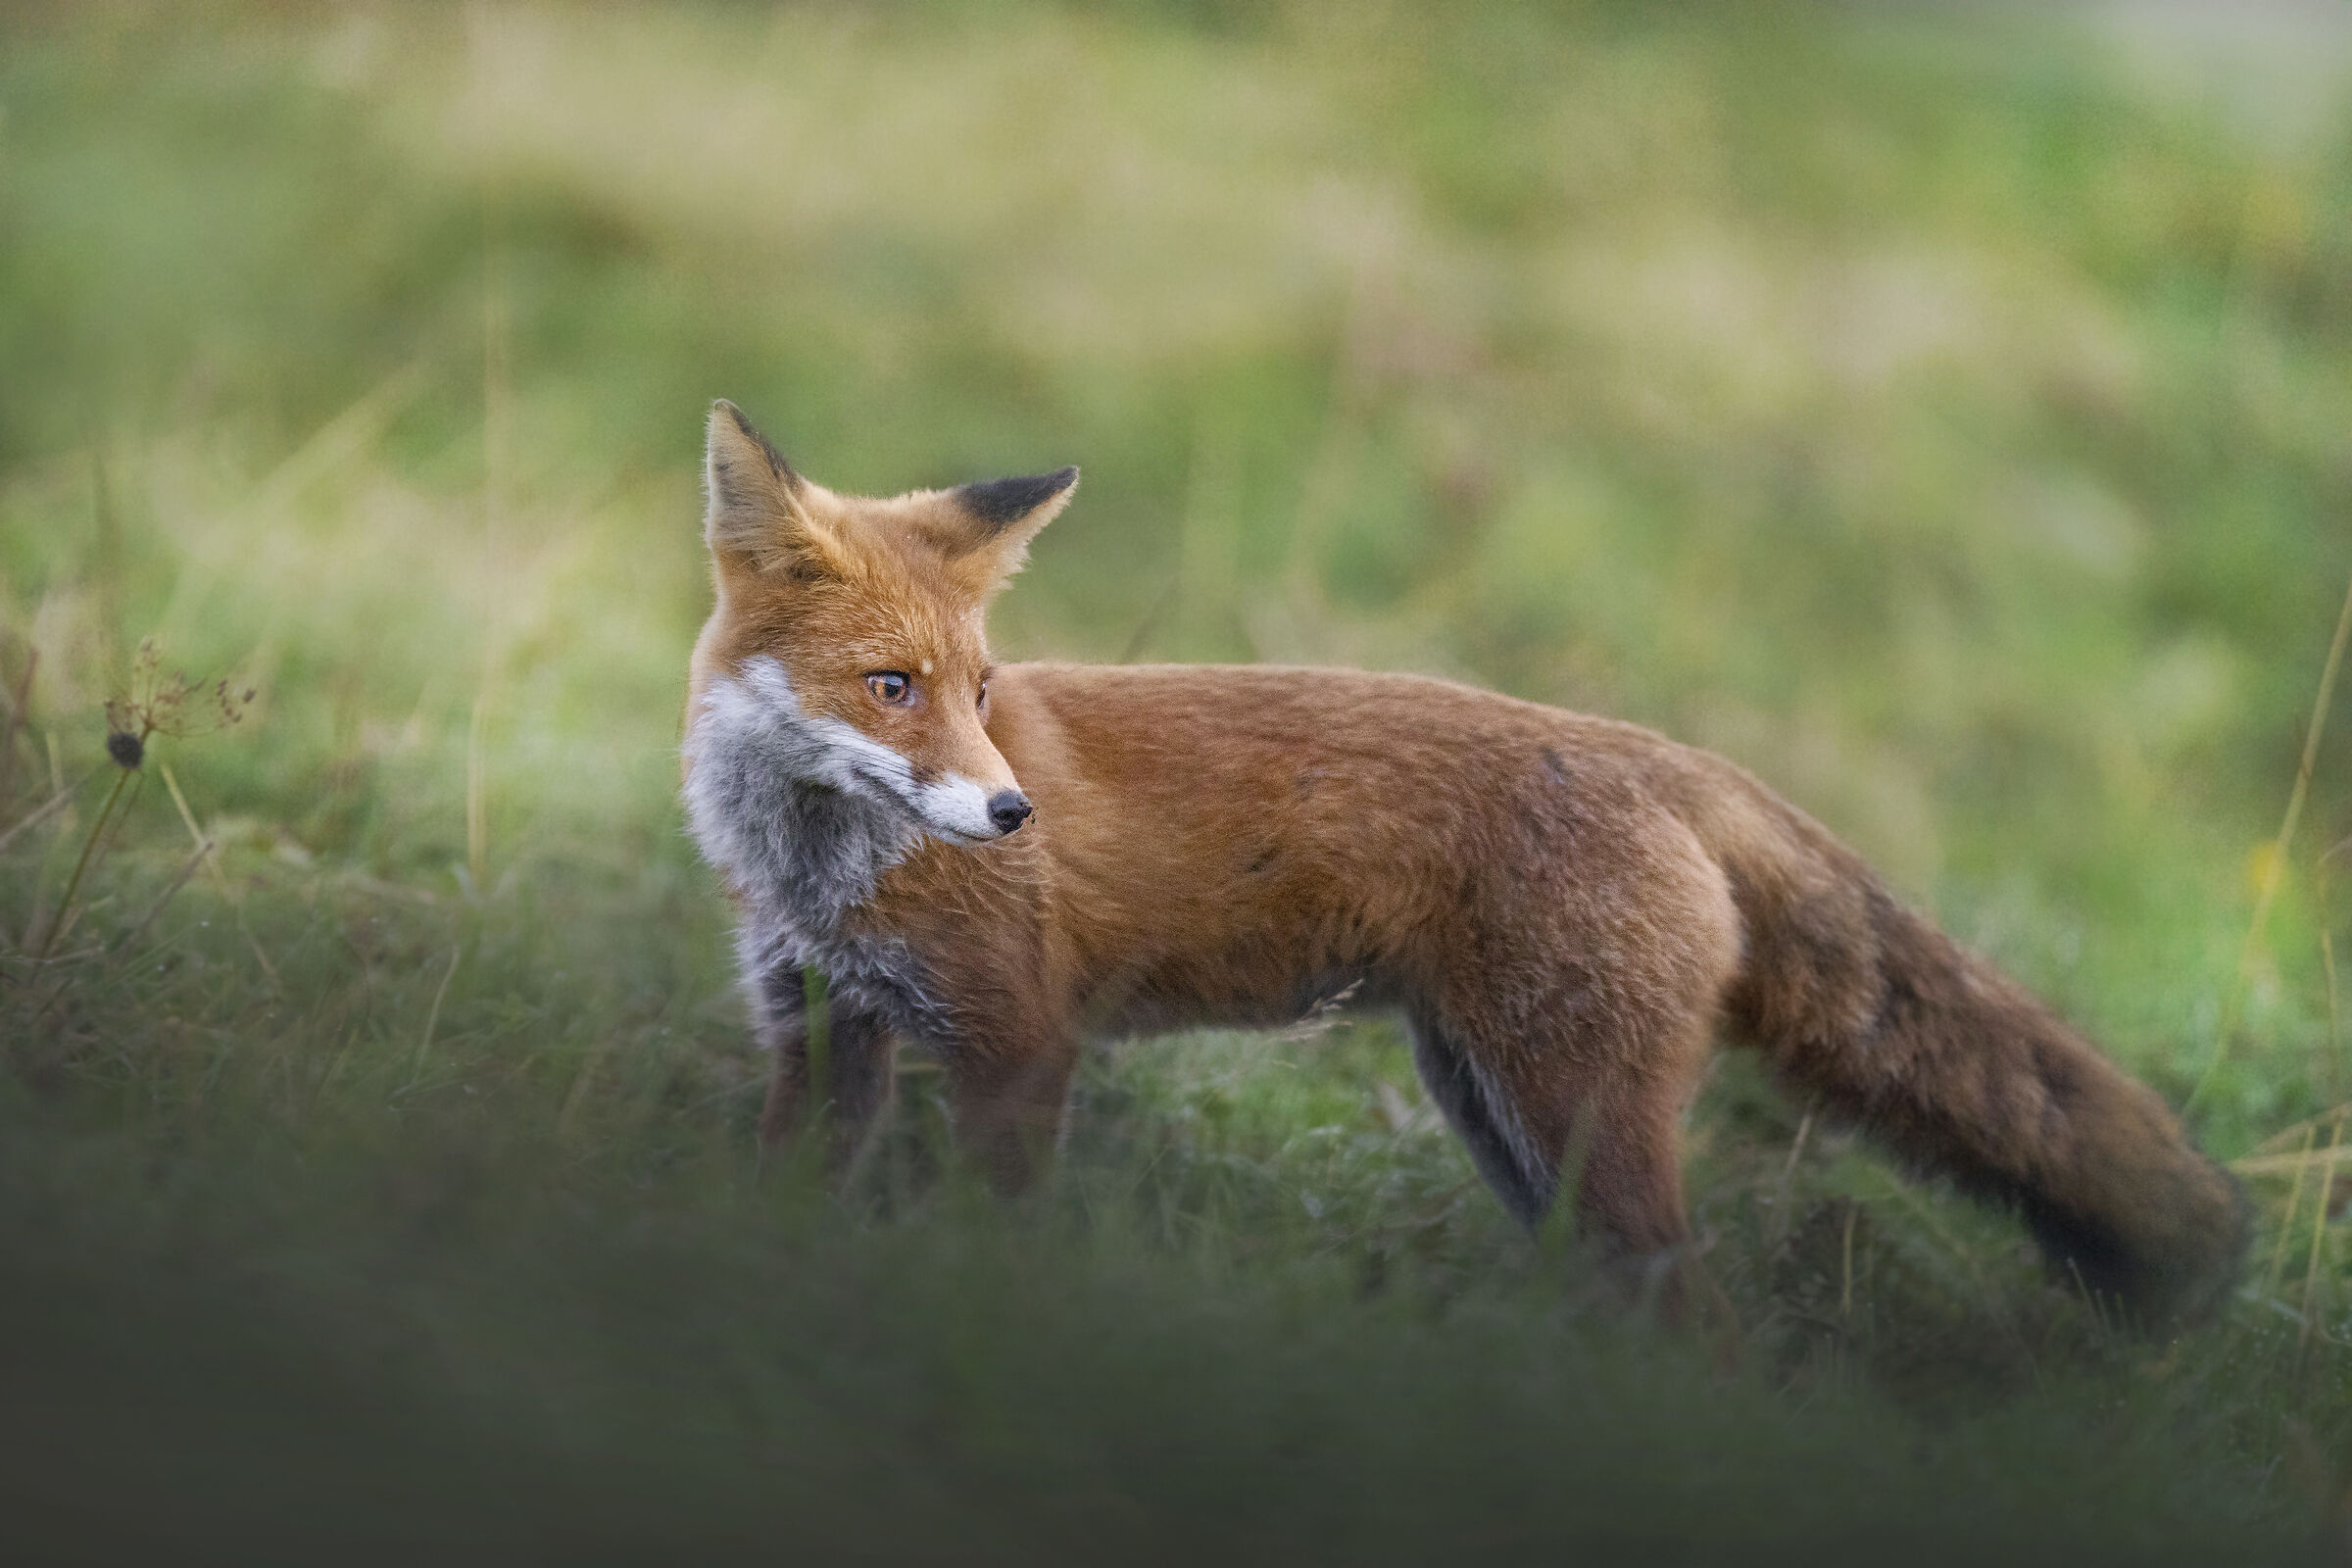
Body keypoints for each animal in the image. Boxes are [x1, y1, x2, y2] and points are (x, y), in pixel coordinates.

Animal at [681, 398, 2248, 1329]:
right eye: (892, 688)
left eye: (981, 688)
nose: (1013, 817)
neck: (825, 873)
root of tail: (1672, 757)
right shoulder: (818, 1035)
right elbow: (779, 1204)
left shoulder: (1017, 1043)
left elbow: (991, 1235)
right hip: (1503, 1113)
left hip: (1569, 1116)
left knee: (1706, 1327)